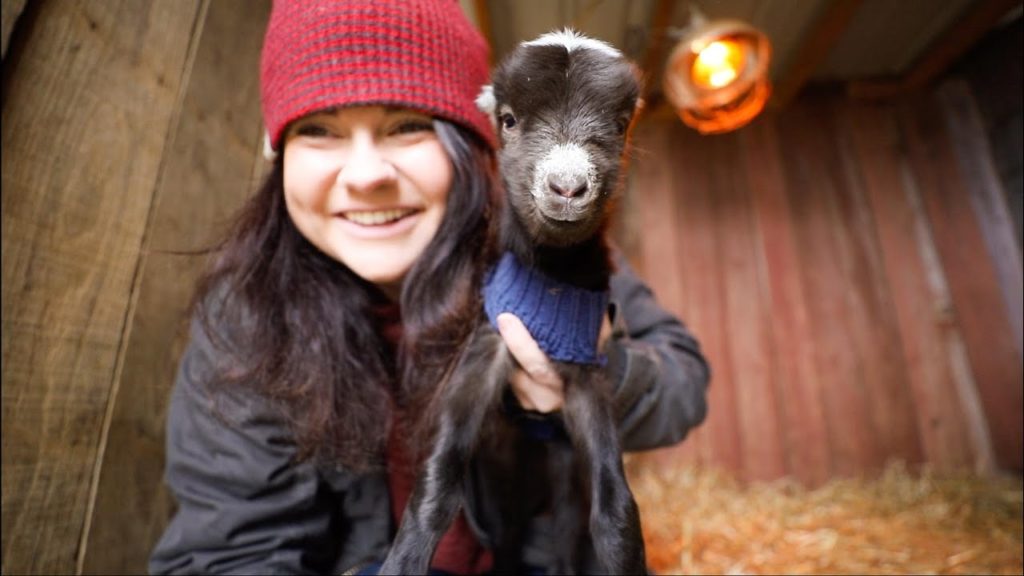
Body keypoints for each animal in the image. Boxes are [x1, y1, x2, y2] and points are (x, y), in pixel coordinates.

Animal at [381, 29, 645, 575]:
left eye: (619, 124)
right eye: (509, 120)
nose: (567, 187)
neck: (551, 281)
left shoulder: (586, 371)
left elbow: (614, 508)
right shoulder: (489, 343)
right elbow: (437, 483)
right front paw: (402, 560)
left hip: (562, 476)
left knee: (566, 535)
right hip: (499, 484)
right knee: (505, 536)